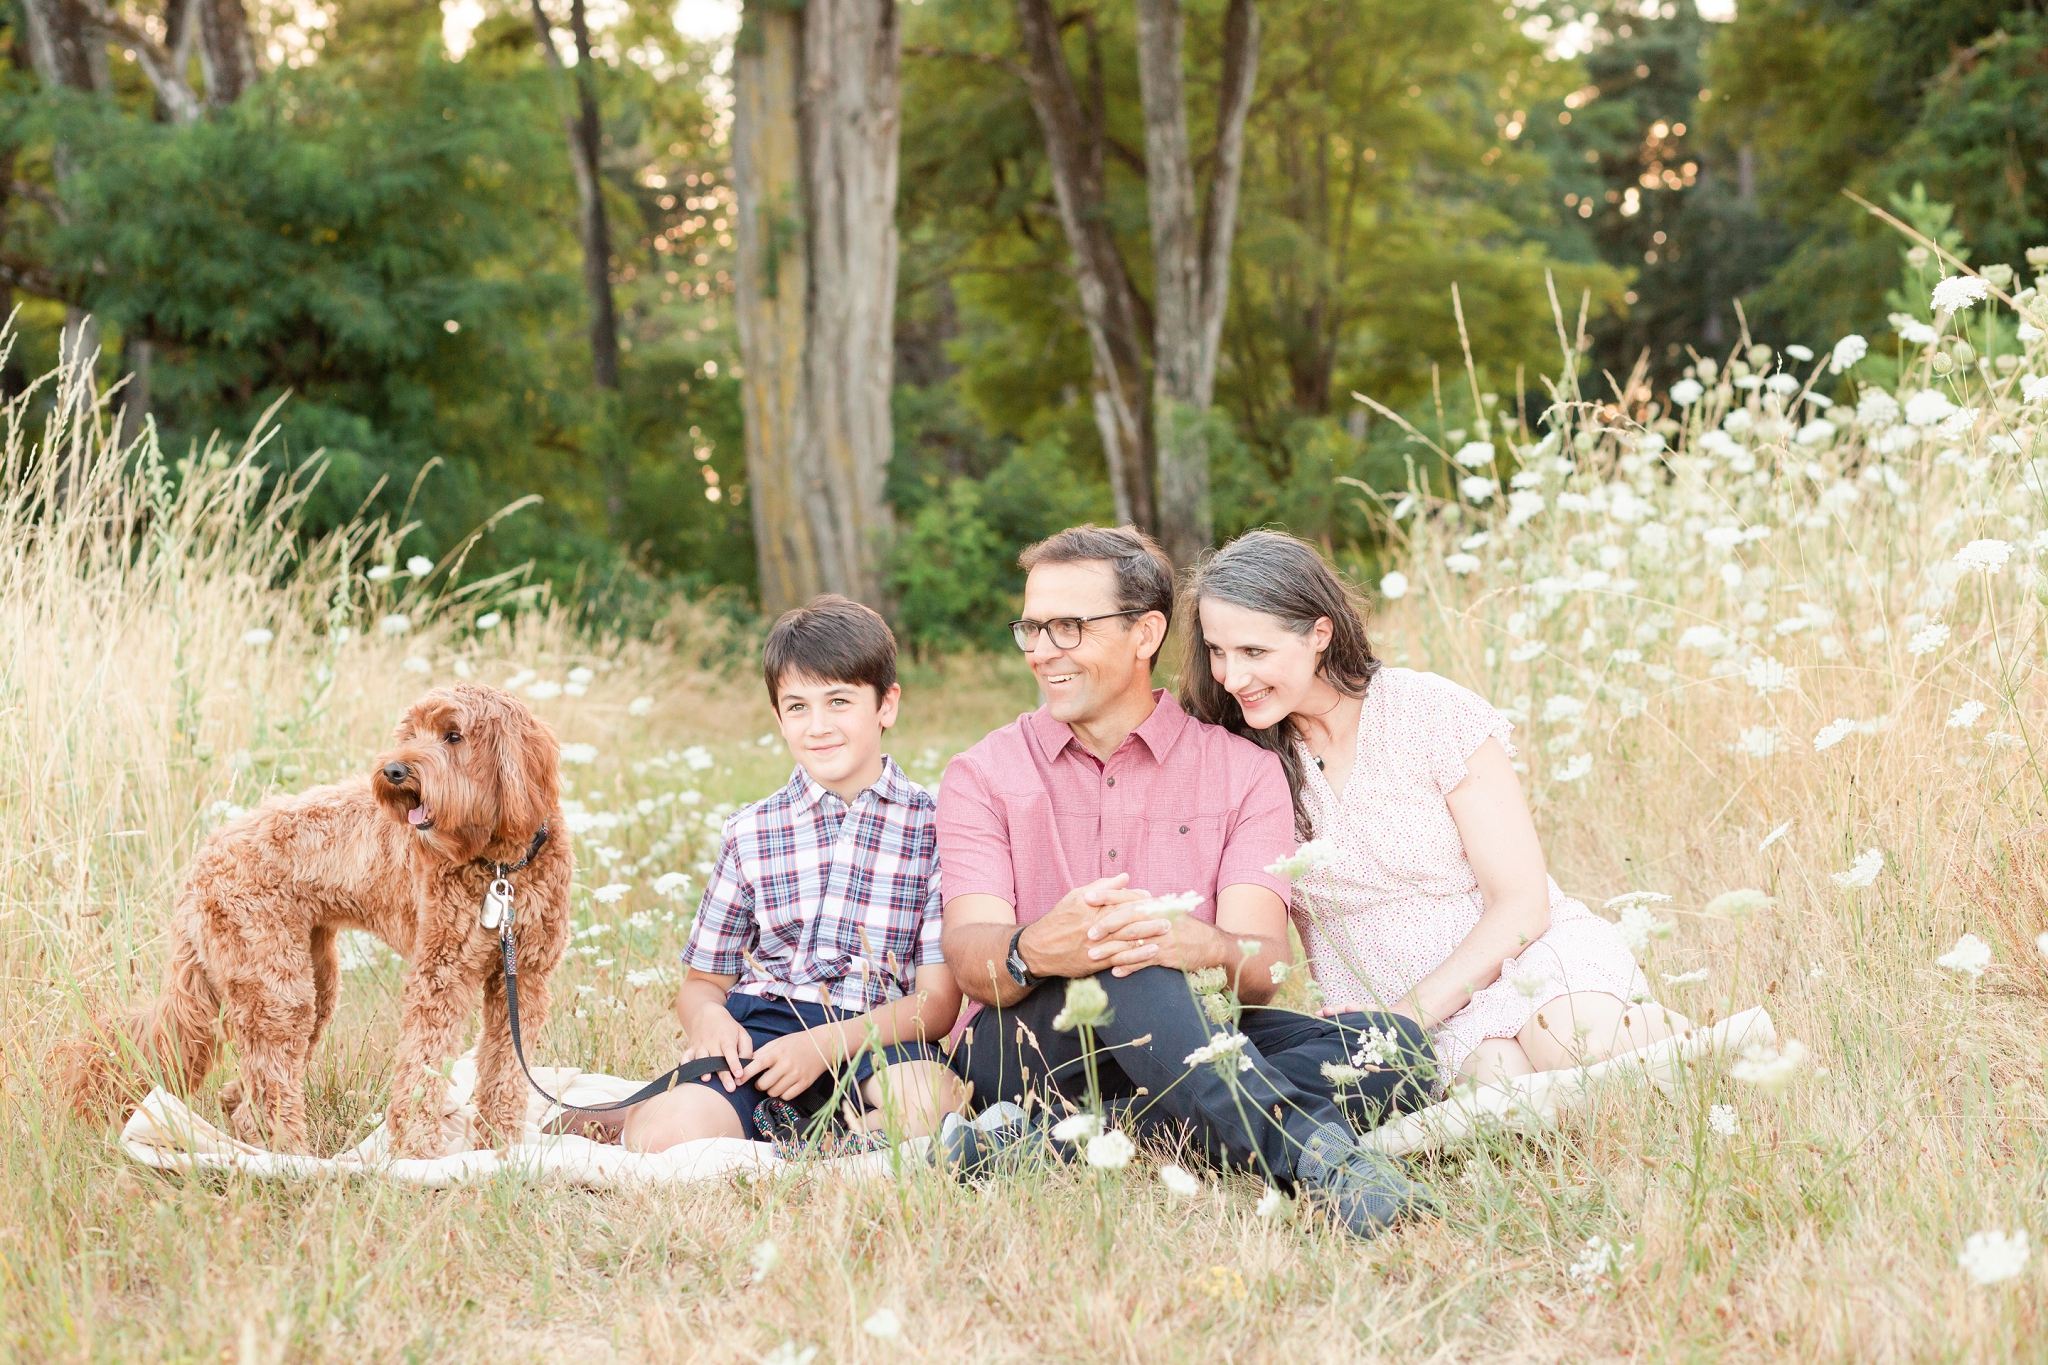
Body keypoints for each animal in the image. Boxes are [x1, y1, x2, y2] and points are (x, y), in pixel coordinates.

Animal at [59, 683, 573, 1154]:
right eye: (411, 733)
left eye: (453, 736)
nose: (394, 770)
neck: (499, 867)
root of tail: (205, 856)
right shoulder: (441, 978)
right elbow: (422, 1069)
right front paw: (418, 1152)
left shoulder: (522, 981)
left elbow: (507, 1072)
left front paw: (503, 1149)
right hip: (277, 990)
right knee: (267, 1092)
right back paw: (293, 1160)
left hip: (309, 983)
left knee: (251, 1087)